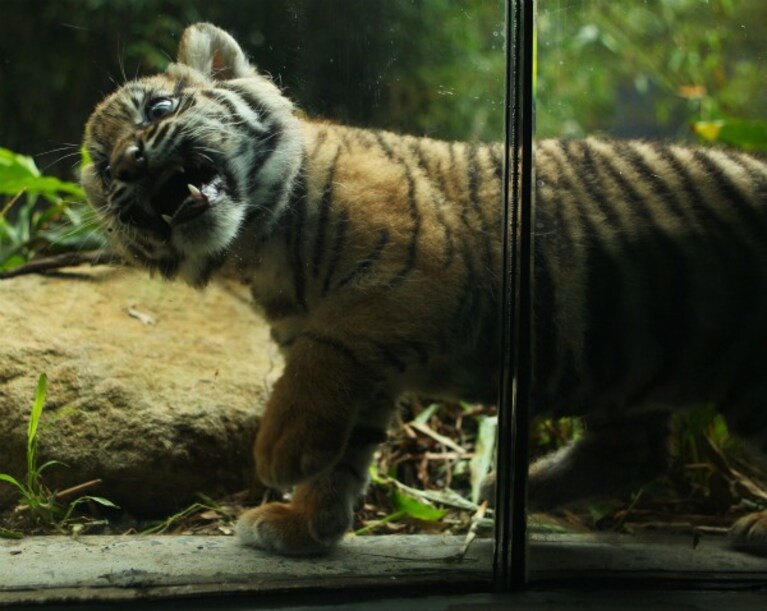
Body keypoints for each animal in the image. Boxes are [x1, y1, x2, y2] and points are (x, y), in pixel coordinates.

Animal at [81, 23, 767, 556]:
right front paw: (303, 525)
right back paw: (509, 486)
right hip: (627, 366)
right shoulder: (368, 365)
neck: (257, 243)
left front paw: (279, 451)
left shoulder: (411, 280)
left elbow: (320, 356)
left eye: (159, 109)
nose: (129, 165)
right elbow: (346, 452)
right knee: (639, 451)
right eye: (101, 167)